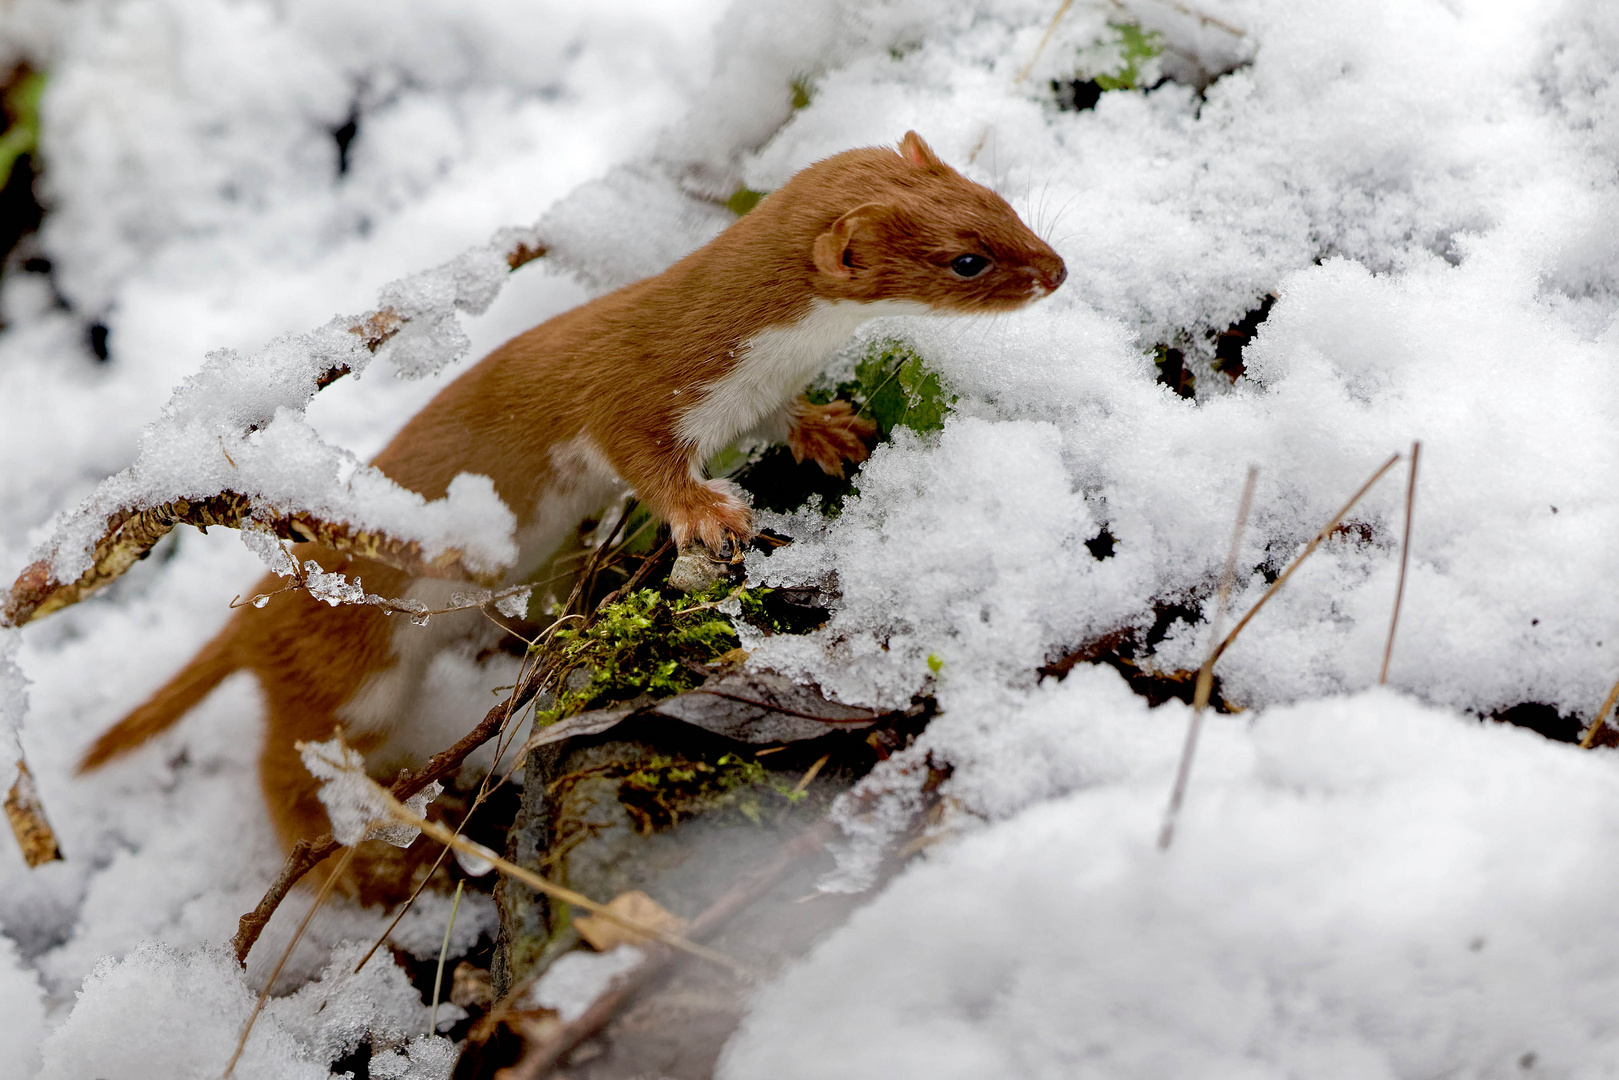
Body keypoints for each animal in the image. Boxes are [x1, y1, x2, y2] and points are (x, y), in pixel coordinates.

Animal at [78, 131, 1062, 900]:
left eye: (998, 202)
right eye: (965, 259)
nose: (1056, 270)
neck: (758, 357)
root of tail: (254, 612)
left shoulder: (753, 396)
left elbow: (783, 420)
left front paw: (828, 429)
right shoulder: (638, 394)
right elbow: (640, 456)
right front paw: (707, 511)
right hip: (350, 666)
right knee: (285, 766)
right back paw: (362, 867)